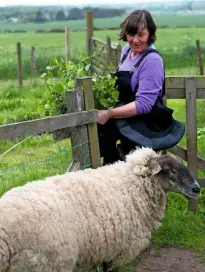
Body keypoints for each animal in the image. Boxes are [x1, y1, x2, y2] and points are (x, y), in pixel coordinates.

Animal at [0, 149, 200, 272]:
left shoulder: (109, 249)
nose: (197, 189)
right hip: (47, 264)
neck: (133, 184)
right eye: (170, 171)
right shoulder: (120, 251)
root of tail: (4, 236)